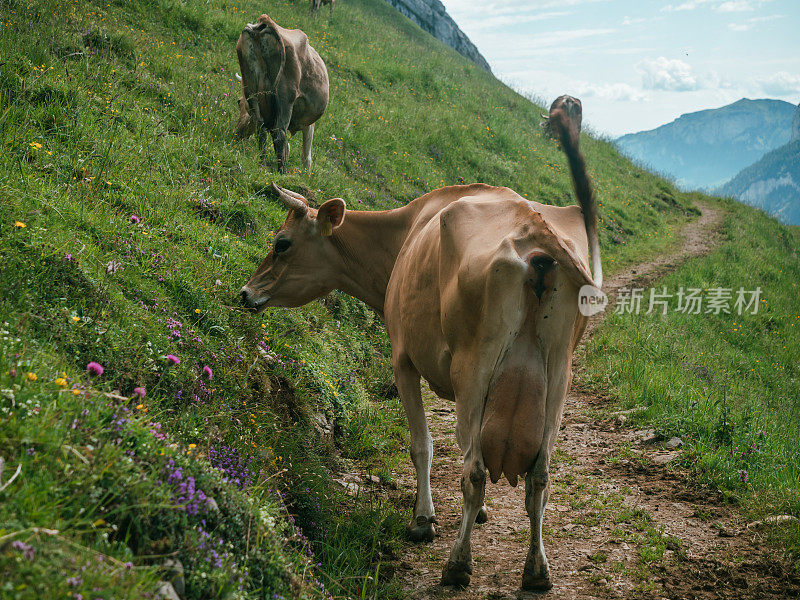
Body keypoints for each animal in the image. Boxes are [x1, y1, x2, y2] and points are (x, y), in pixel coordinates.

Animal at [241, 108, 604, 592]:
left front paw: (422, 519)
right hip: (558, 376)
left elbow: (423, 444)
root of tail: (538, 234)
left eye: (281, 243)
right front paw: (480, 516)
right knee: (539, 475)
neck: (404, 235)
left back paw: (458, 564)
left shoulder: (403, 358)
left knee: (474, 471)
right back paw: (537, 570)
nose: (246, 292)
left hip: (475, 368)